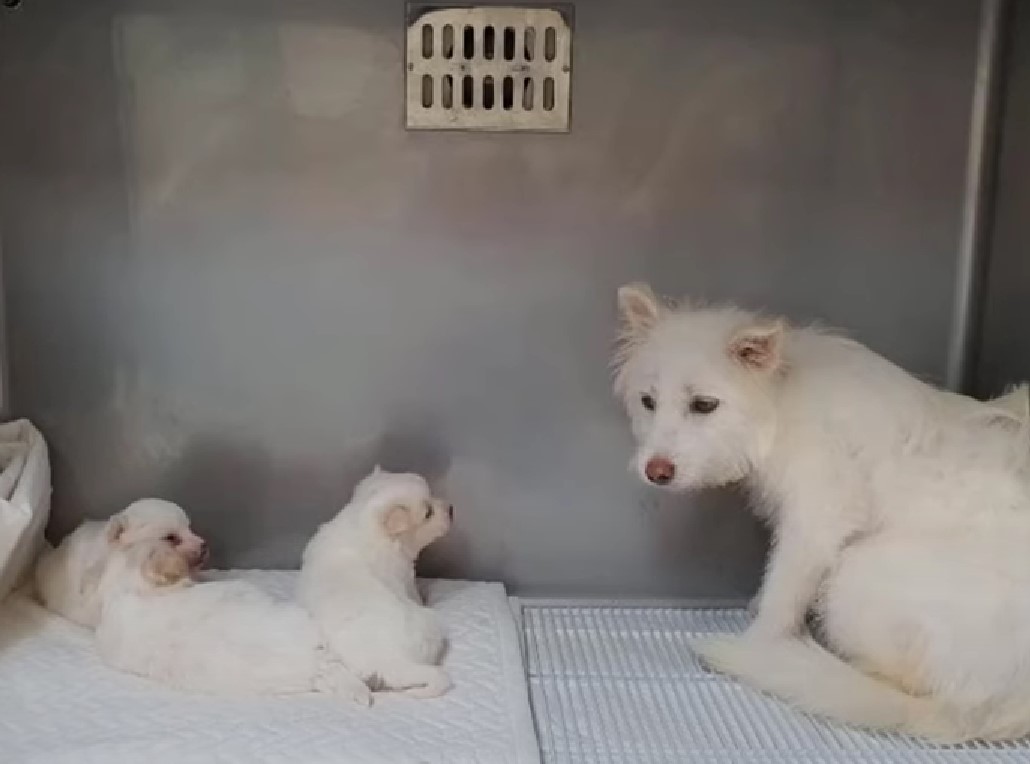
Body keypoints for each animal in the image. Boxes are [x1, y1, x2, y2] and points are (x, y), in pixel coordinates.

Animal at [296, 467, 453, 700]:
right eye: (428, 513)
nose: (451, 509)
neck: (360, 523)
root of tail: (389, 660)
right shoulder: (405, 576)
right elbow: (414, 593)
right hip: (431, 625)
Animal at [609, 284, 1030, 745]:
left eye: (704, 405)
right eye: (648, 401)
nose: (656, 472)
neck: (780, 400)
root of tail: (993, 711)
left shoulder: (817, 520)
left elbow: (781, 595)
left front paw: (761, 643)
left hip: (856, 574)